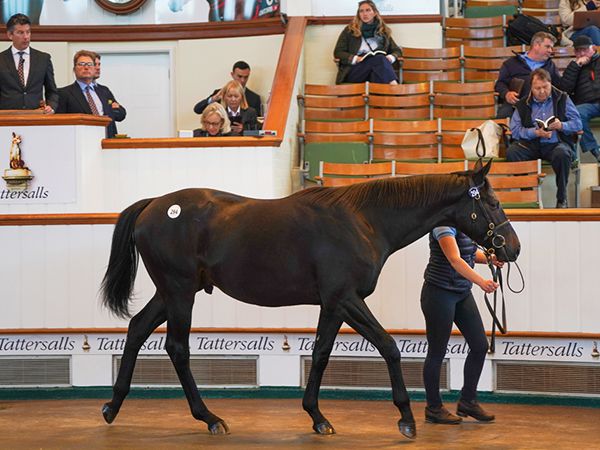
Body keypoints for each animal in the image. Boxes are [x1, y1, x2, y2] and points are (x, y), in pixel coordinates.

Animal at [99, 159, 520, 440]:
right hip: (179, 292)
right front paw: (406, 418)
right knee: (177, 348)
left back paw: (112, 406)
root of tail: (154, 205)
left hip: (169, 293)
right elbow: (388, 346)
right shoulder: (345, 298)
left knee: (137, 329)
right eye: (493, 202)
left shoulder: (332, 305)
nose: (511, 248)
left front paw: (317, 417)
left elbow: (320, 353)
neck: (364, 221)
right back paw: (210, 417)